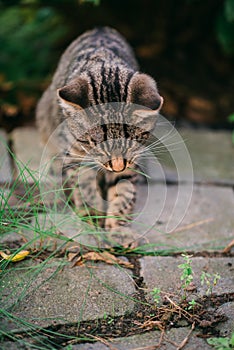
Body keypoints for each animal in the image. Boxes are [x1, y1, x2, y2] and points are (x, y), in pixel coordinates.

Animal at [36, 26, 164, 230]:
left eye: (131, 143)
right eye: (96, 144)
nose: (117, 166)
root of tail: (100, 28)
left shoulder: (131, 162)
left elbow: (124, 189)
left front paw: (118, 225)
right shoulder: (75, 154)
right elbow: (85, 184)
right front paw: (92, 215)